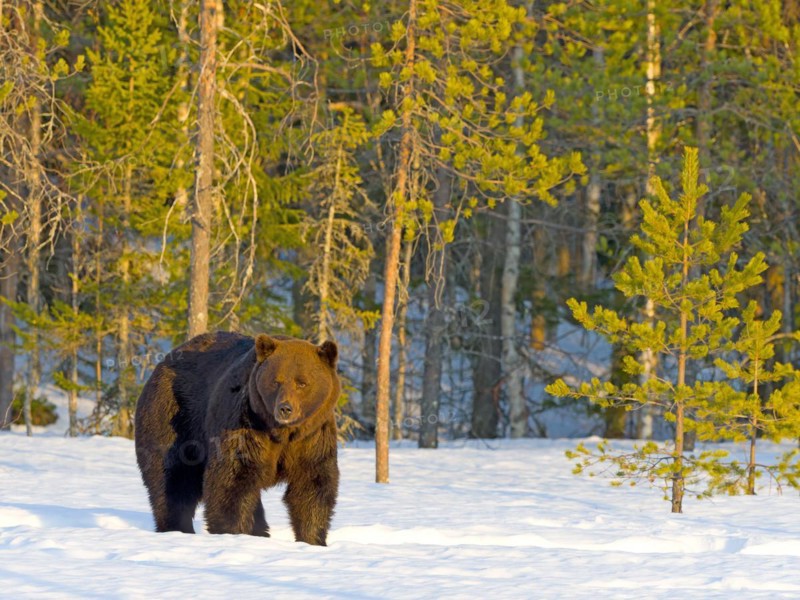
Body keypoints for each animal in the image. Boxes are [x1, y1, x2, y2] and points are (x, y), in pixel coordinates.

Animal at [134, 331, 340, 546]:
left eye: (302, 382)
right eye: (276, 381)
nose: (285, 408)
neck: (281, 432)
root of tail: (165, 360)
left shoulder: (311, 438)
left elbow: (312, 485)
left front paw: (312, 540)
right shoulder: (244, 424)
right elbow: (232, 481)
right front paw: (235, 533)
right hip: (174, 417)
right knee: (172, 478)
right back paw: (177, 528)